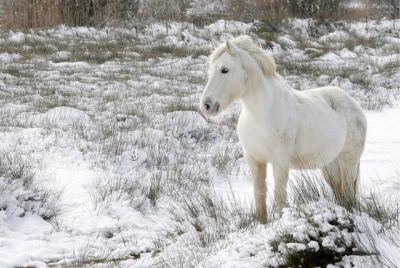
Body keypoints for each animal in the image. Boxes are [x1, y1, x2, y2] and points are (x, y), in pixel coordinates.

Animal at [202, 36, 368, 224]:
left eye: (225, 70)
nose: (207, 105)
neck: (261, 115)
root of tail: (354, 104)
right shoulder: (254, 159)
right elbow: (259, 194)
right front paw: (262, 222)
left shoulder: (280, 160)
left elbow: (279, 195)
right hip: (330, 165)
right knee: (339, 191)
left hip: (349, 162)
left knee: (348, 191)